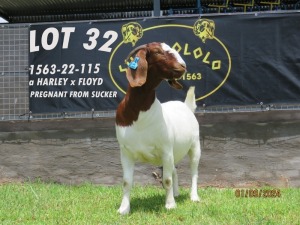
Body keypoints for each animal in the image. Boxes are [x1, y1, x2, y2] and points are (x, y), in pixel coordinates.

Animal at [116, 41, 200, 214]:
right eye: (157, 51)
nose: (183, 66)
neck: (139, 115)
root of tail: (186, 106)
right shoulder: (125, 152)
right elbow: (126, 182)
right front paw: (123, 209)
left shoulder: (165, 150)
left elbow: (166, 180)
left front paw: (170, 205)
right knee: (174, 170)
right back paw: (176, 193)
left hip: (195, 146)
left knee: (194, 171)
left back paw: (194, 197)